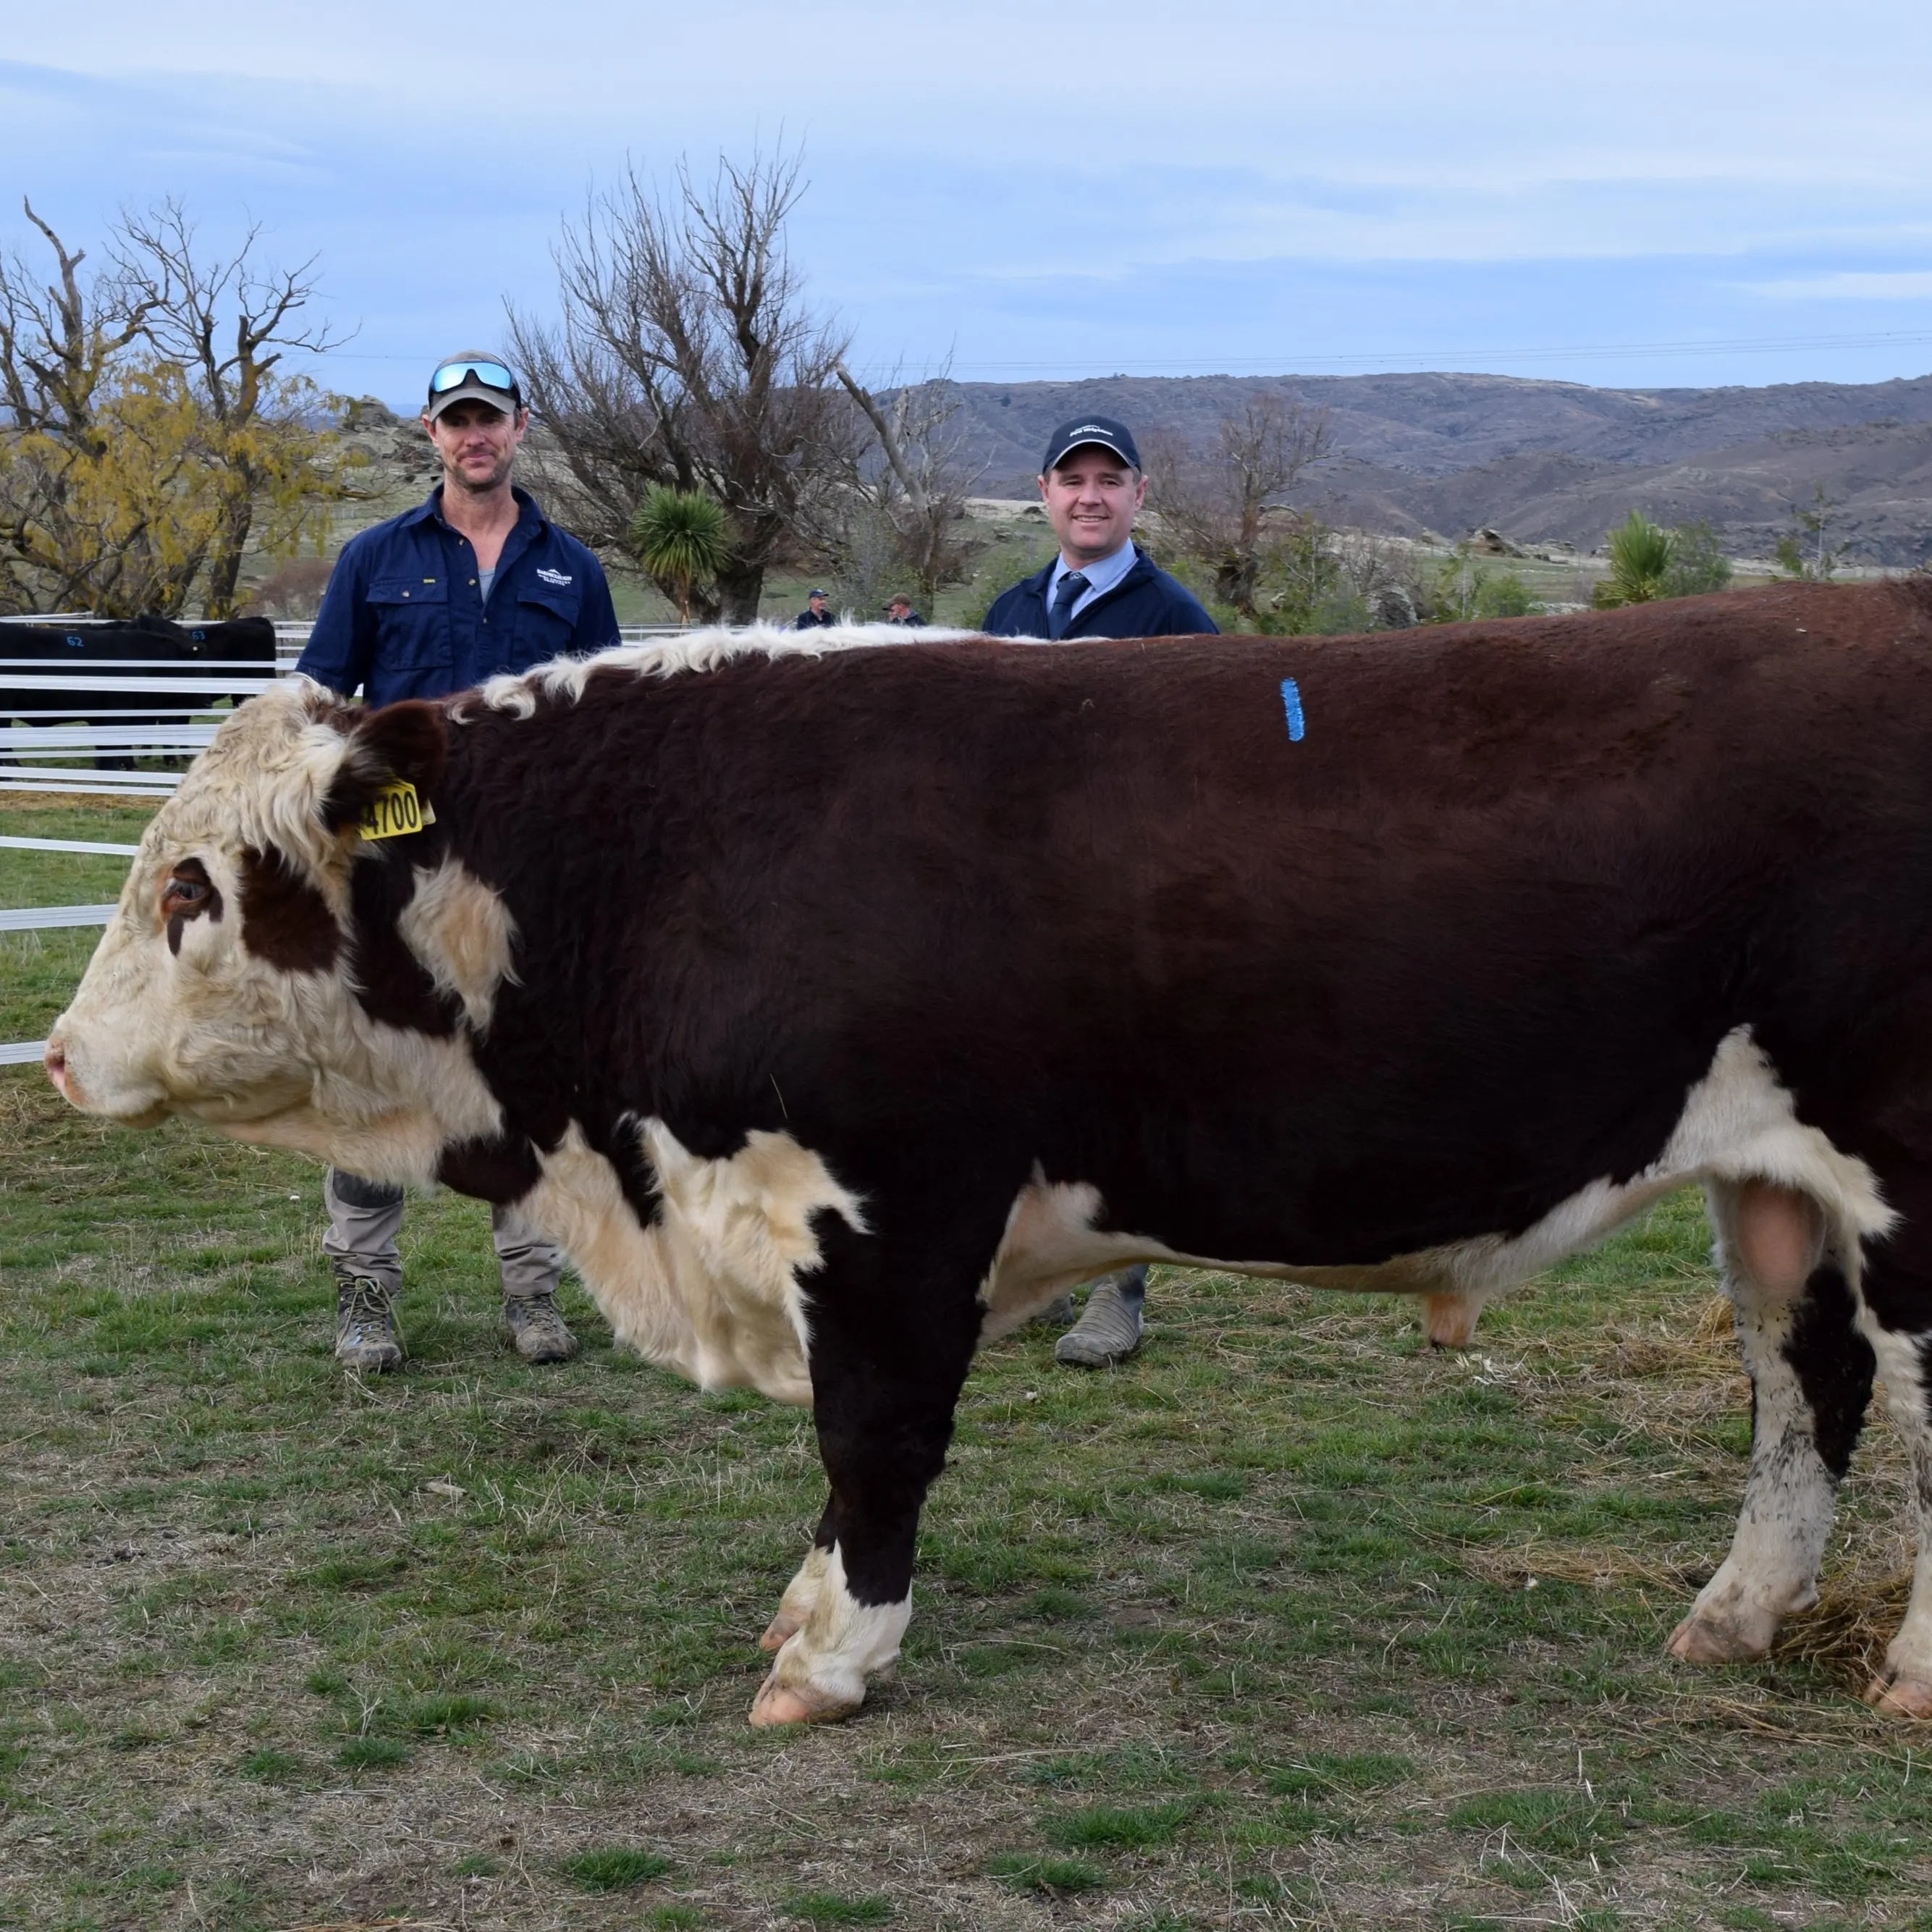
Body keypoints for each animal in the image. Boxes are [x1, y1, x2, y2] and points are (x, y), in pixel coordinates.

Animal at [42, 583, 1932, 1728]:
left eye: (192, 885)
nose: (55, 1053)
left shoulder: (891, 1204)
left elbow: (872, 1435)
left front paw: (830, 1660)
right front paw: (801, 1612)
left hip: (1907, 1171)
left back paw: (1902, 1674)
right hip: (1771, 1183)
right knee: (1807, 1381)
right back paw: (1731, 1616)